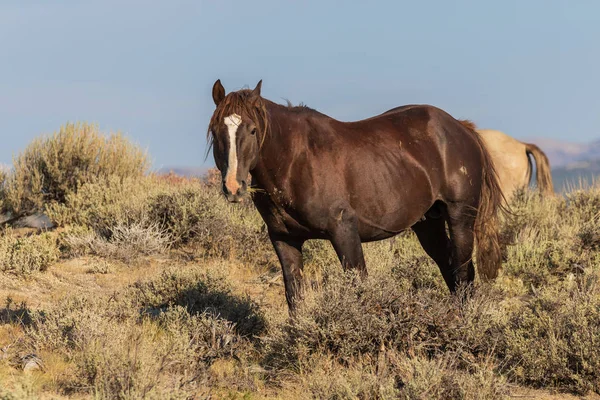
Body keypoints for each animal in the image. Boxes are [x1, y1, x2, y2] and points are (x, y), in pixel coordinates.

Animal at [206, 79, 506, 312]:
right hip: (428, 223)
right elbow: (295, 296)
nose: (233, 187)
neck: (294, 160)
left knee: (463, 273)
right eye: (216, 131)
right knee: (449, 268)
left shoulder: (344, 231)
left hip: (460, 217)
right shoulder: (284, 239)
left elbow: (358, 288)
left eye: (253, 130)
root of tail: (461, 128)